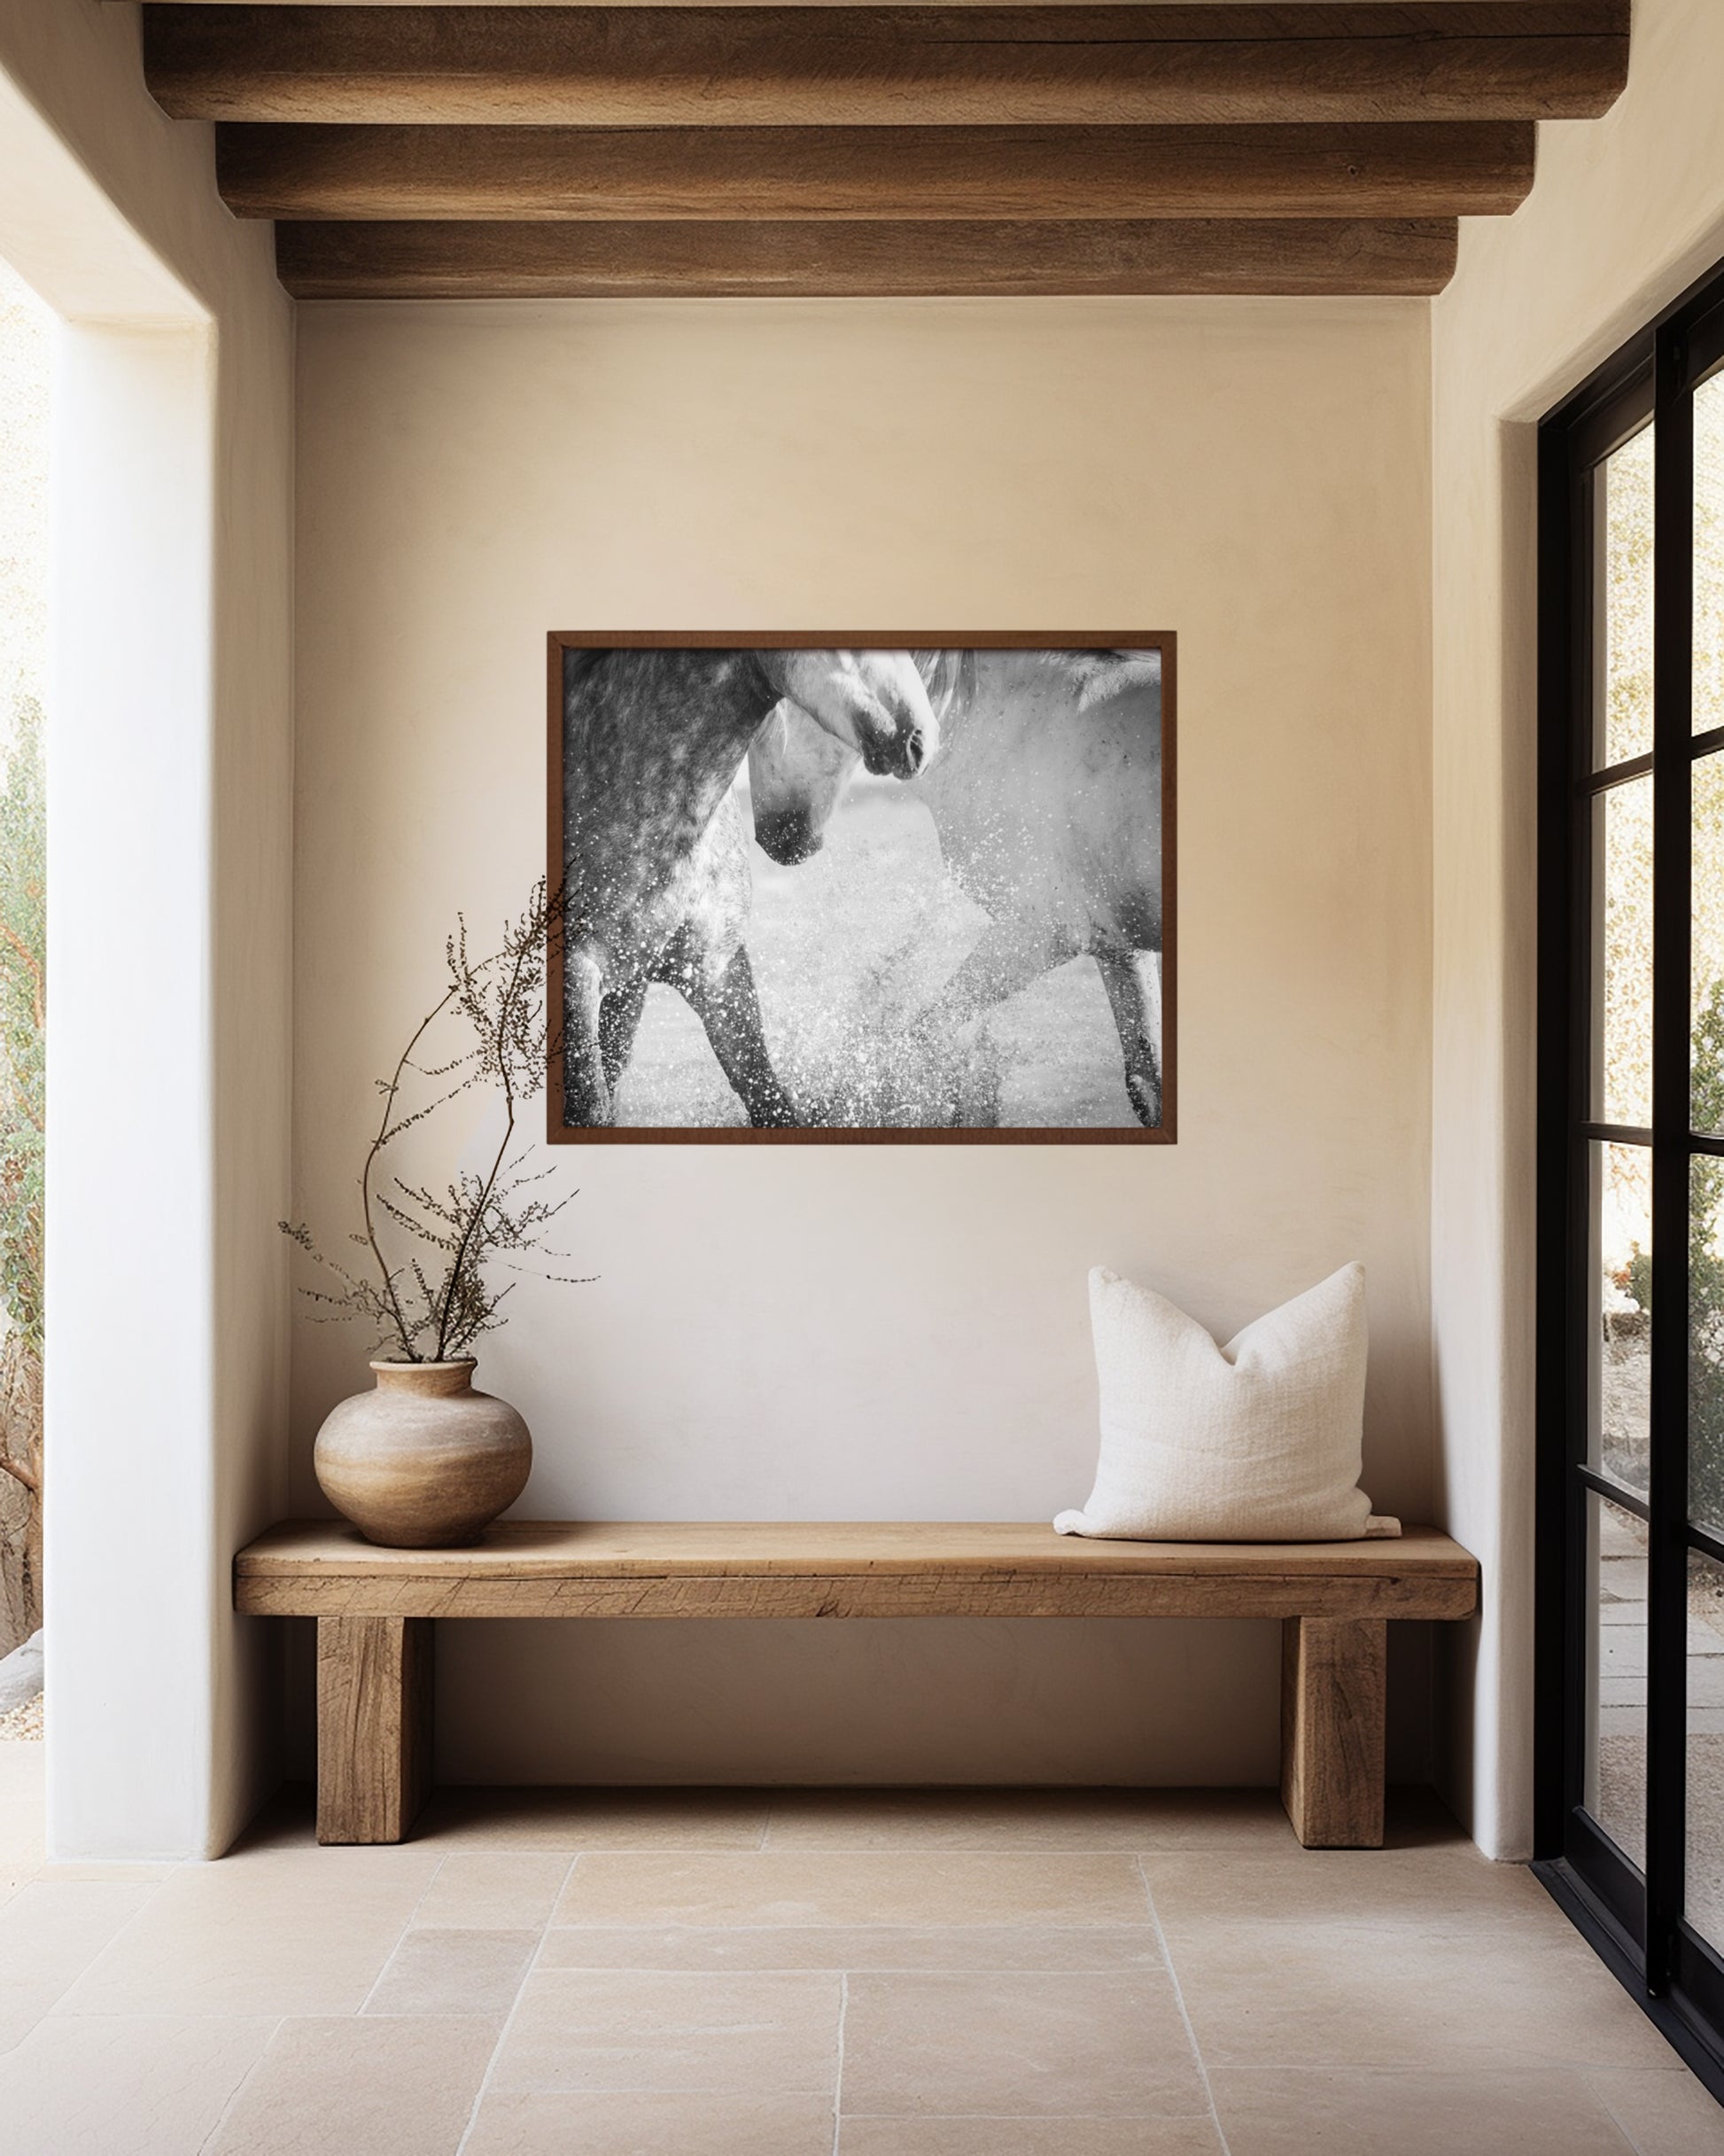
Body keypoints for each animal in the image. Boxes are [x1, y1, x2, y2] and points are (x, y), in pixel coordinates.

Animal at [746, 648, 1165, 1127]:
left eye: (764, 722)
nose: (772, 841)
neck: (1011, 735)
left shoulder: (1037, 935)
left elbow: (919, 1037)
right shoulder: (1119, 947)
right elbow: (1146, 1085)